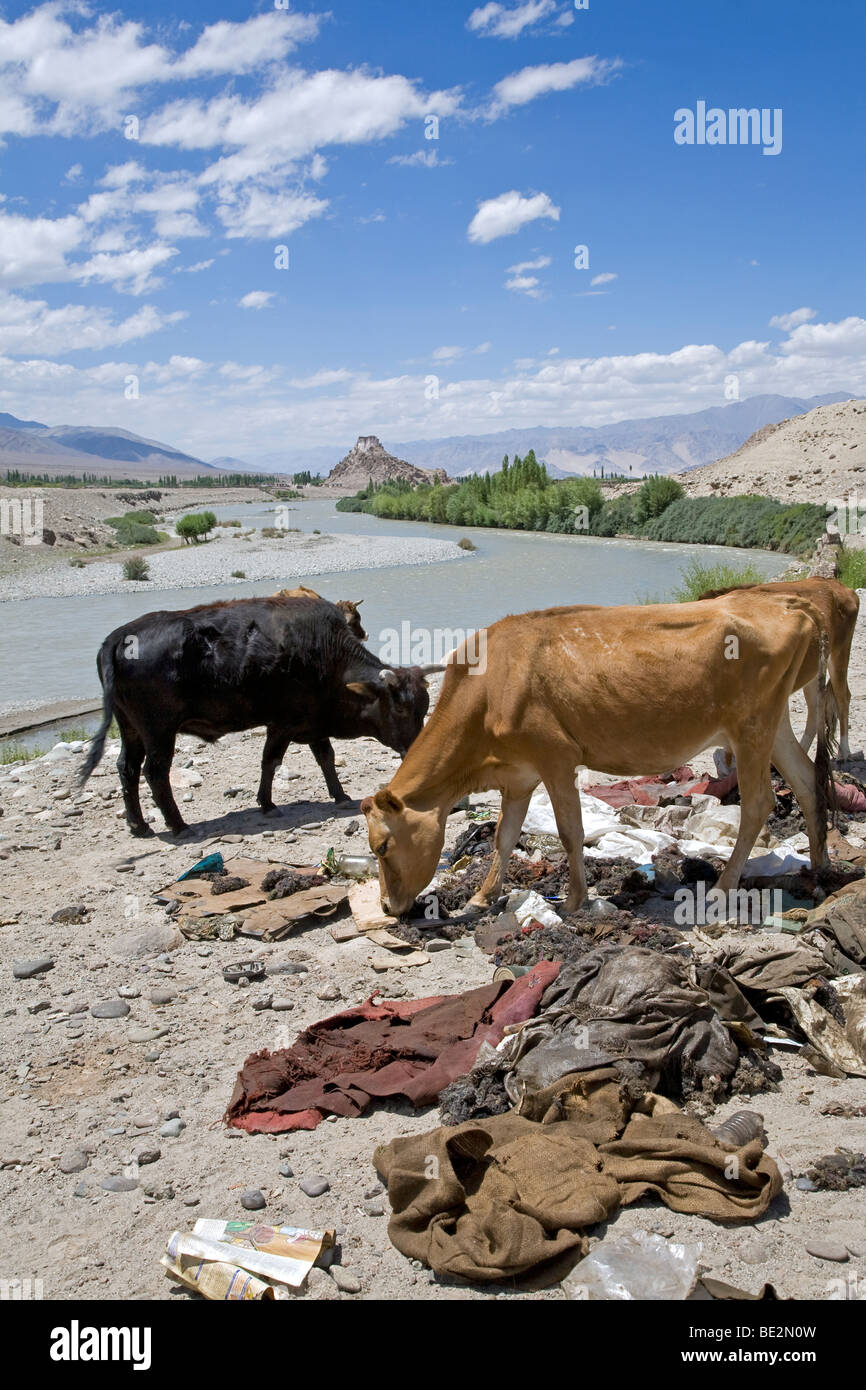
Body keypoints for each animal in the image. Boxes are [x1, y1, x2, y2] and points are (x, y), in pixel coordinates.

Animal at [79, 594, 433, 834]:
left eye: (423, 706)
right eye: (401, 707)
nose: (417, 748)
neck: (328, 657)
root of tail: (118, 637)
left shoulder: (313, 723)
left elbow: (326, 758)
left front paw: (340, 794)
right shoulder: (282, 723)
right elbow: (271, 762)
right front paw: (267, 804)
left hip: (131, 728)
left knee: (127, 768)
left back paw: (139, 825)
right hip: (159, 732)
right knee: (154, 772)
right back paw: (179, 825)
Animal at [361, 592, 834, 917]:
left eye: (382, 847)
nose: (385, 906)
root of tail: (788, 604)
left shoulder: (556, 758)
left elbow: (570, 831)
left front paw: (574, 900)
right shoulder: (519, 775)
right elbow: (504, 837)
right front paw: (482, 896)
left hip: (751, 727)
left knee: (759, 803)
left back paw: (723, 887)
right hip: (774, 724)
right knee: (808, 782)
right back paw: (820, 870)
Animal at [700, 575, 861, 761]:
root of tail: (834, 582)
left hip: (840, 652)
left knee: (843, 697)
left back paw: (844, 751)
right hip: (814, 671)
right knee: (815, 711)